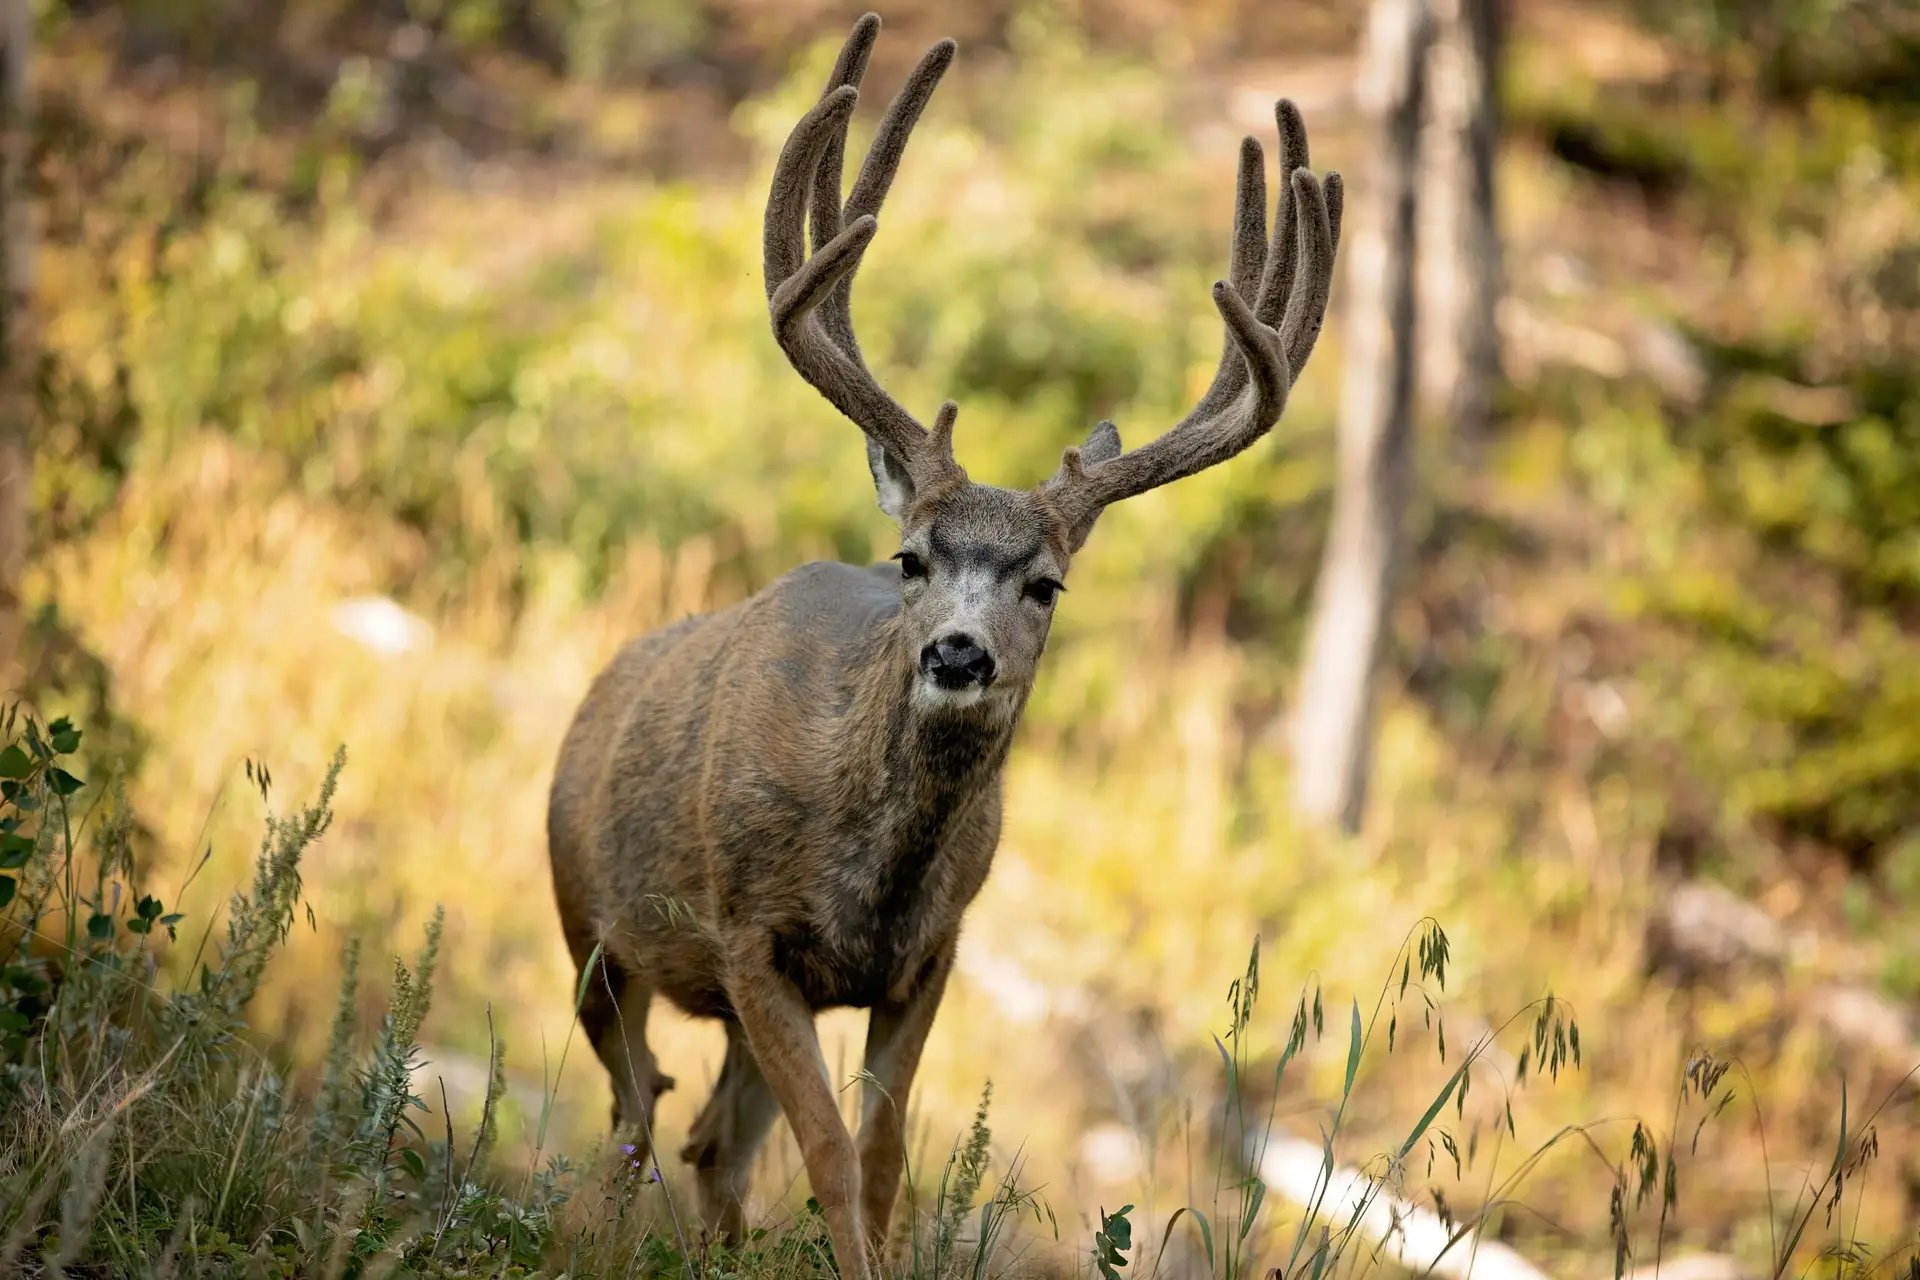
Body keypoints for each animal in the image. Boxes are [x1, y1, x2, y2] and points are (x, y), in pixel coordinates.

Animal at [545, 12, 1342, 1279]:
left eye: (1047, 584)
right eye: (911, 557)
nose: (961, 654)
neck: (872, 867)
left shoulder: (930, 955)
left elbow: (880, 1157)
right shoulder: (748, 933)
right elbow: (828, 1152)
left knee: (708, 1133)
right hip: (589, 926)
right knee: (635, 1112)